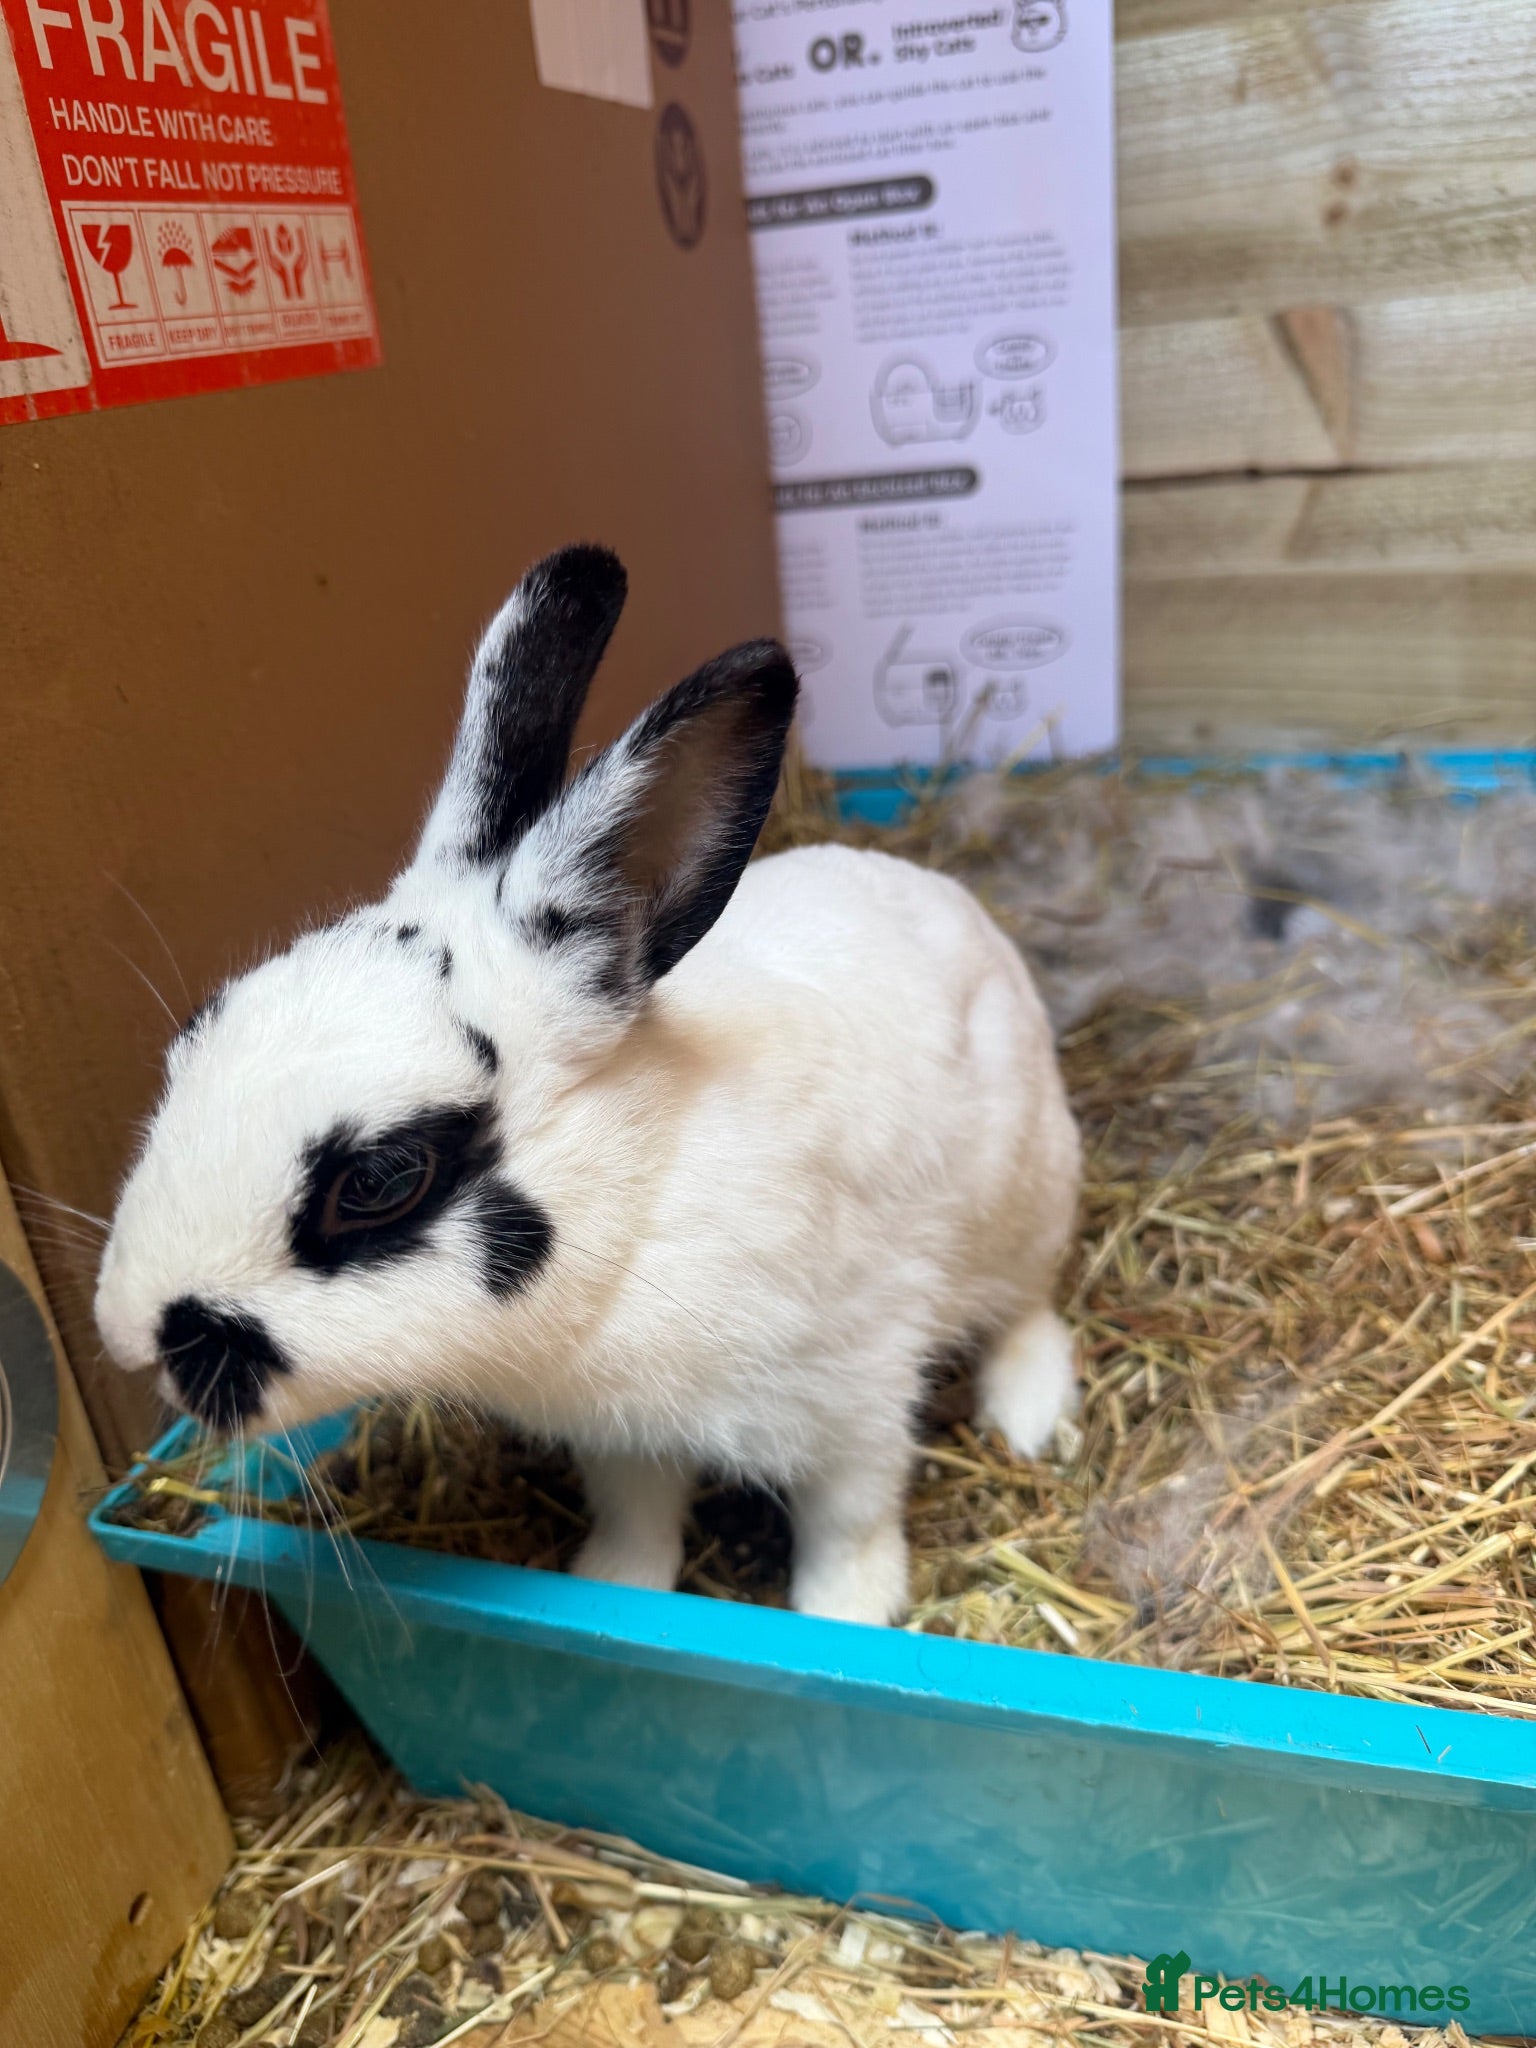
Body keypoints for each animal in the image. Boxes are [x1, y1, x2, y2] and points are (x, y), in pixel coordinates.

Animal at [95, 544, 1081, 1626]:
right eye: (195, 1031)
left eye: (382, 1179)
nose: (126, 1334)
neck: (644, 1200)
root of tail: (955, 900)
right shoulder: (622, 1442)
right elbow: (637, 1519)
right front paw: (609, 1584)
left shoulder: (856, 1392)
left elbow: (847, 1519)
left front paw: (848, 1615)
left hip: (1025, 1203)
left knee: (1027, 1309)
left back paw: (1031, 1417)